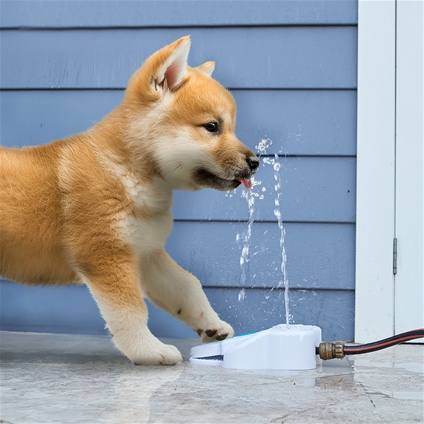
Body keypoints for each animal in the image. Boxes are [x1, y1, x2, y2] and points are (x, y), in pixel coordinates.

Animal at [0, 36, 260, 364]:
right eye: (212, 127)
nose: (256, 163)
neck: (127, 170)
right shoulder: (106, 254)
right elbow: (131, 312)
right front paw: (149, 351)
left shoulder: (146, 254)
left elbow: (188, 287)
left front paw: (211, 325)